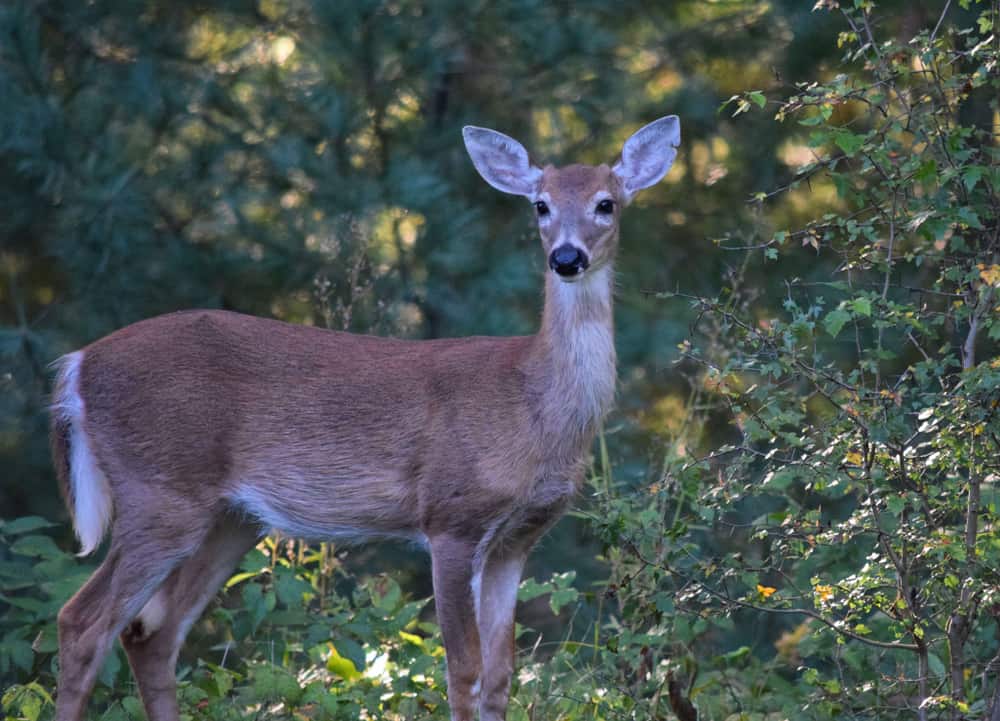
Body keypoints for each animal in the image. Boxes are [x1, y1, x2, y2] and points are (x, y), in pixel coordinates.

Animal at [48, 115, 681, 721]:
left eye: (606, 203)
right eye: (541, 204)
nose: (567, 258)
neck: (532, 404)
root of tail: (77, 366)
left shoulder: (517, 537)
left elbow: (502, 677)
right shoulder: (450, 516)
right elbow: (464, 673)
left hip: (229, 519)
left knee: (150, 634)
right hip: (159, 492)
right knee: (82, 621)